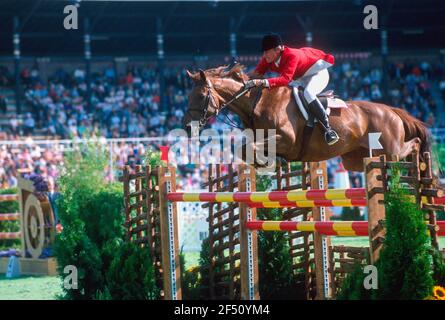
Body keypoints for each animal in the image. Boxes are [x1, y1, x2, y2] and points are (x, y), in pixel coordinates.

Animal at [180, 63, 430, 174]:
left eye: (200, 96)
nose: (186, 127)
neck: (256, 104)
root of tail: (392, 110)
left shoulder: (286, 140)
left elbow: (248, 147)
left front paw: (272, 161)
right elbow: (243, 149)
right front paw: (268, 163)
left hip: (390, 148)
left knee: (413, 144)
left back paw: (421, 161)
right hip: (357, 159)